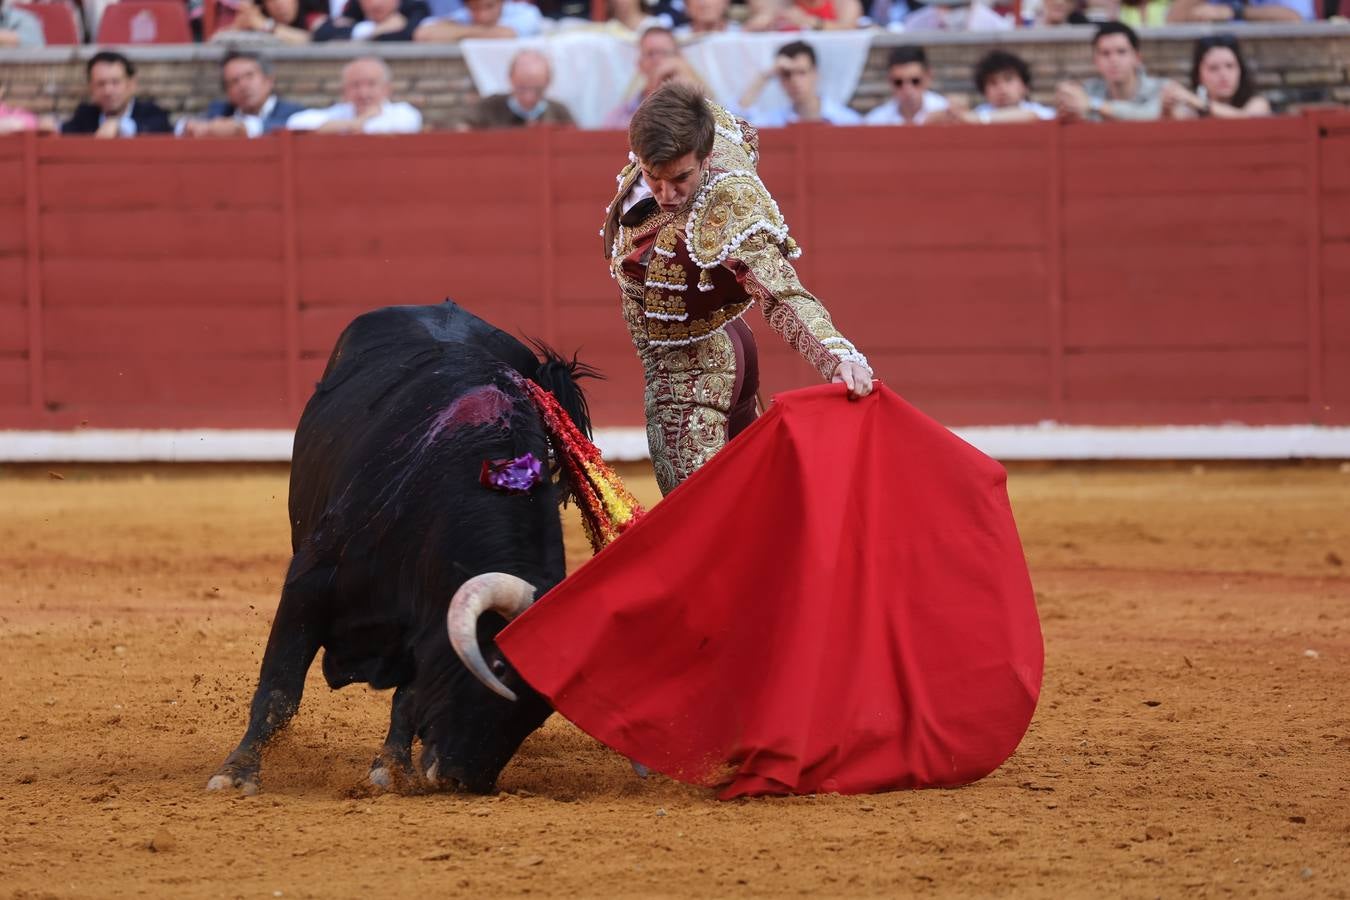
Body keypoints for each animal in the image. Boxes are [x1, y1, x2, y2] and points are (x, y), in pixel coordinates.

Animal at [203, 302, 591, 793]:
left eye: (544, 709)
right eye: (499, 668)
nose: (463, 778)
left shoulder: (426, 620)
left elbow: (409, 695)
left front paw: (391, 768)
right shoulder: (309, 583)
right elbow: (280, 687)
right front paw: (237, 774)